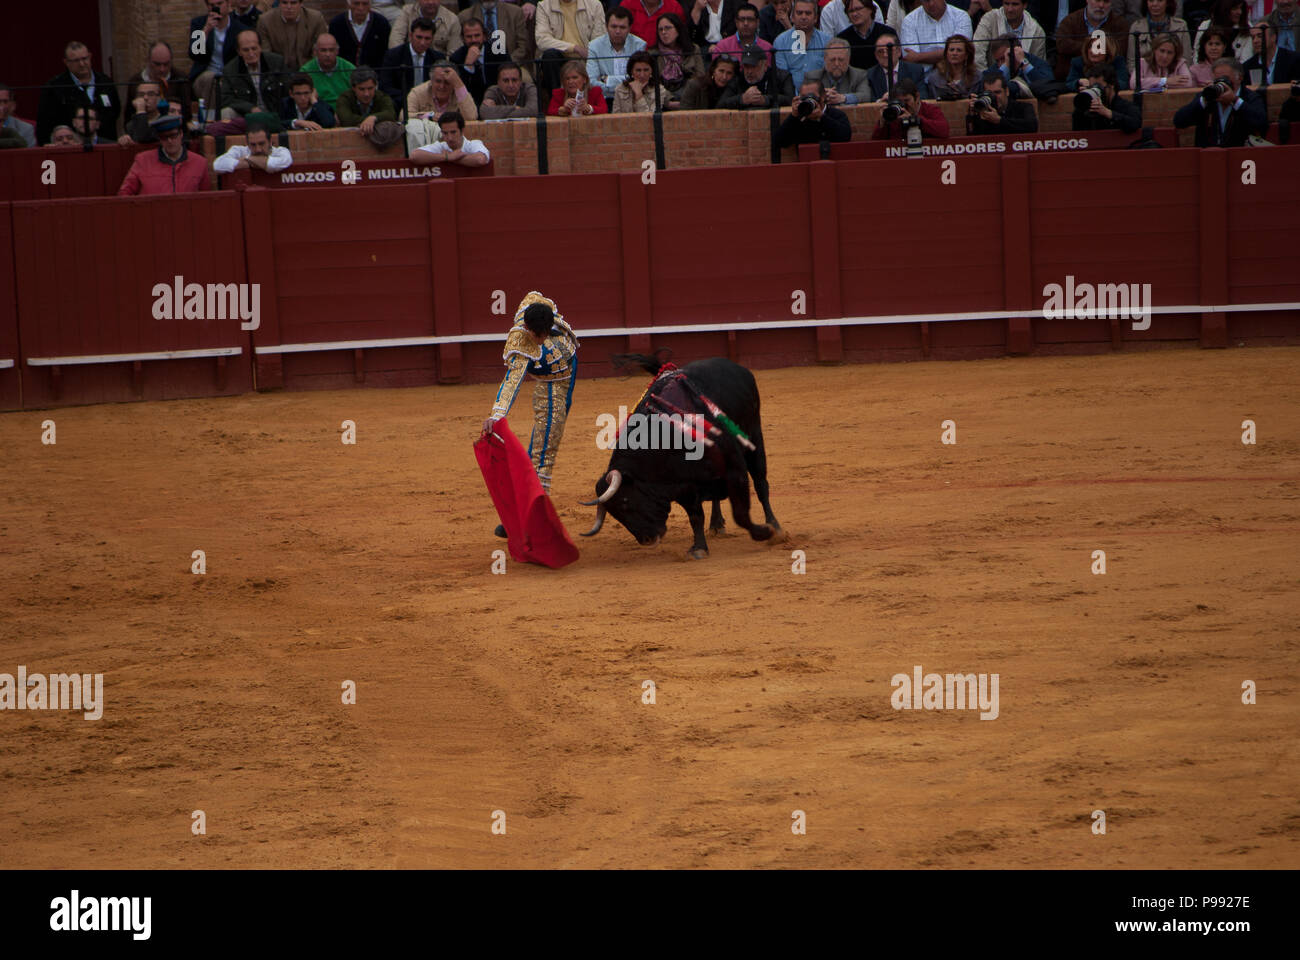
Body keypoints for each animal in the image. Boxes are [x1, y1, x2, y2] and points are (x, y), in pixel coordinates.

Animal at [582, 356, 780, 556]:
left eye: (625, 502)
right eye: (616, 514)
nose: (647, 540)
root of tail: (735, 366)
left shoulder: (734, 465)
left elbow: (740, 513)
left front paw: (765, 532)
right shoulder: (684, 485)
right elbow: (696, 516)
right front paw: (699, 548)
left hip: (754, 434)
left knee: (761, 484)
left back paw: (775, 526)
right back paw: (716, 524)